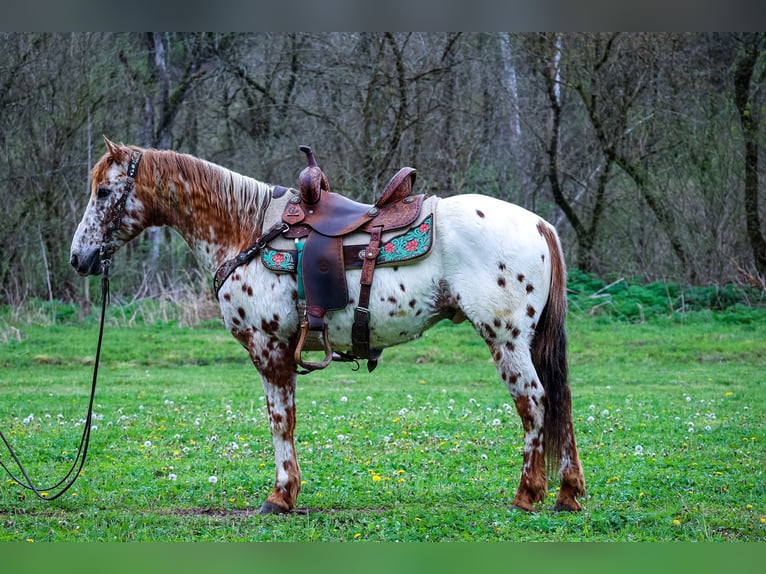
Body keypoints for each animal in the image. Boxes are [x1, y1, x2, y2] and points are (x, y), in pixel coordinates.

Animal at [73, 137, 588, 516]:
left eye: (103, 192)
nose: (79, 258)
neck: (246, 230)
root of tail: (539, 224)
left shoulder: (269, 349)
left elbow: (280, 419)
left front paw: (280, 495)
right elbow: (289, 418)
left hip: (506, 340)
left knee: (534, 402)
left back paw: (528, 494)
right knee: (558, 402)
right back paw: (566, 493)